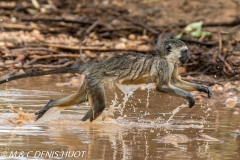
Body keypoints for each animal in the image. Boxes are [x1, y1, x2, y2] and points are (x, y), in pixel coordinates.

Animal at [0, 39, 212, 122]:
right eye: (185, 51)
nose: (188, 57)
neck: (166, 57)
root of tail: (94, 66)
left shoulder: (173, 66)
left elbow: (175, 83)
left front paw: (202, 88)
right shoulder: (164, 65)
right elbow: (162, 87)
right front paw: (190, 97)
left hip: (89, 81)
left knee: (82, 99)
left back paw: (51, 106)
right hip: (94, 80)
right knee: (99, 105)